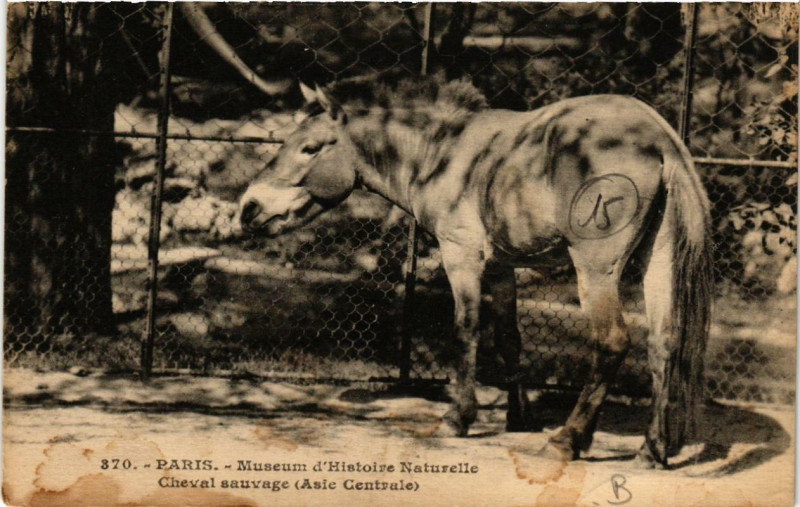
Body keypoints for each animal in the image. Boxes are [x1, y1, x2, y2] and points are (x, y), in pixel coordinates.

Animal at [237, 75, 712, 469]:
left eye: (310, 148)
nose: (248, 208)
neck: (440, 154)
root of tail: (660, 138)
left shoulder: (460, 255)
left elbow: (465, 329)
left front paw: (458, 417)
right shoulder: (502, 268)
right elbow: (508, 338)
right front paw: (519, 416)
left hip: (596, 270)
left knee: (611, 343)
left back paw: (567, 440)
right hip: (658, 261)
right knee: (664, 343)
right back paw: (651, 449)